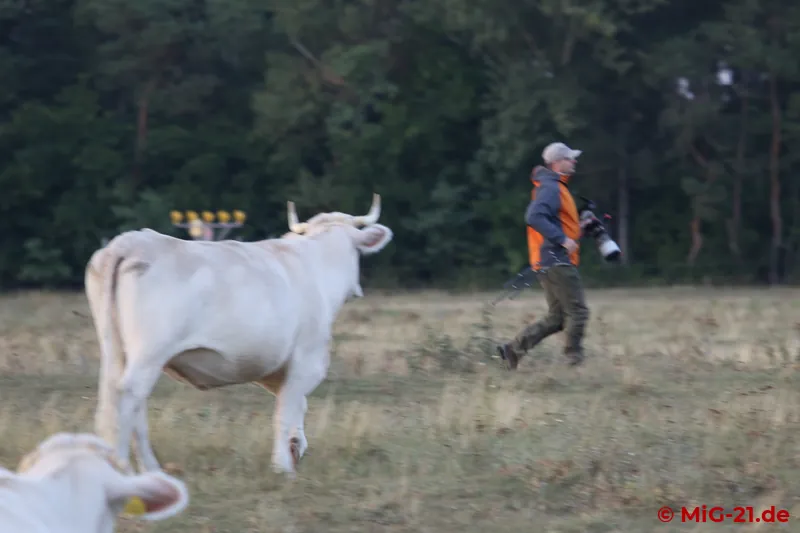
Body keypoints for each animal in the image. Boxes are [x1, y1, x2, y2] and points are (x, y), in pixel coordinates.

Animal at [84, 193, 393, 477]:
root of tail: (129, 241)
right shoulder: (308, 358)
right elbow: (287, 409)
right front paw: (282, 466)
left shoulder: (275, 367)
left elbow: (297, 405)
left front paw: (296, 447)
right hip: (150, 351)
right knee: (129, 396)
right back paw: (134, 469)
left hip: (117, 346)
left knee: (124, 398)